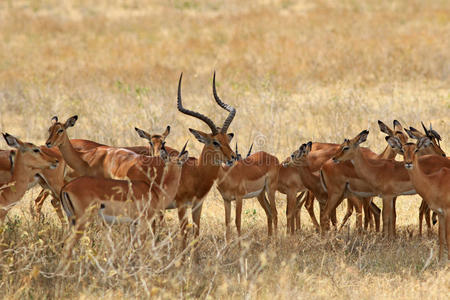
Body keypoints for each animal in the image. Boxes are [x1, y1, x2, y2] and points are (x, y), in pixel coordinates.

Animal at [59, 143, 188, 260]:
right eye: (169, 162)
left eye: (179, 162)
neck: (156, 192)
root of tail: (66, 187)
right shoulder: (143, 222)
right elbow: (142, 248)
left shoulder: (133, 224)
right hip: (82, 221)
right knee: (68, 246)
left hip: (71, 220)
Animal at [175, 73, 237, 251]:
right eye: (215, 142)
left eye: (227, 140)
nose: (233, 157)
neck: (195, 173)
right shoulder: (181, 205)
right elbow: (184, 235)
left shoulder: (198, 205)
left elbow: (196, 234)